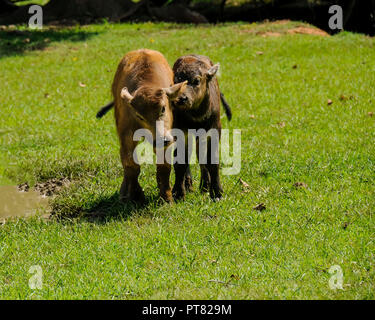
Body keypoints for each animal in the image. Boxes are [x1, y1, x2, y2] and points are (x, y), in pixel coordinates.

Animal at [171, 54, 231, 200]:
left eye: (196, 80)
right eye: (176, 81)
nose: (181, 98)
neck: (196, 118)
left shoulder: (213, 132)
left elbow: (212, 161)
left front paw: (217, 192)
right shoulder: (180, 133)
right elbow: (181, 162)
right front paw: (178, 193)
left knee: (201, 156)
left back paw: (204, 185)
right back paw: (189, 185)